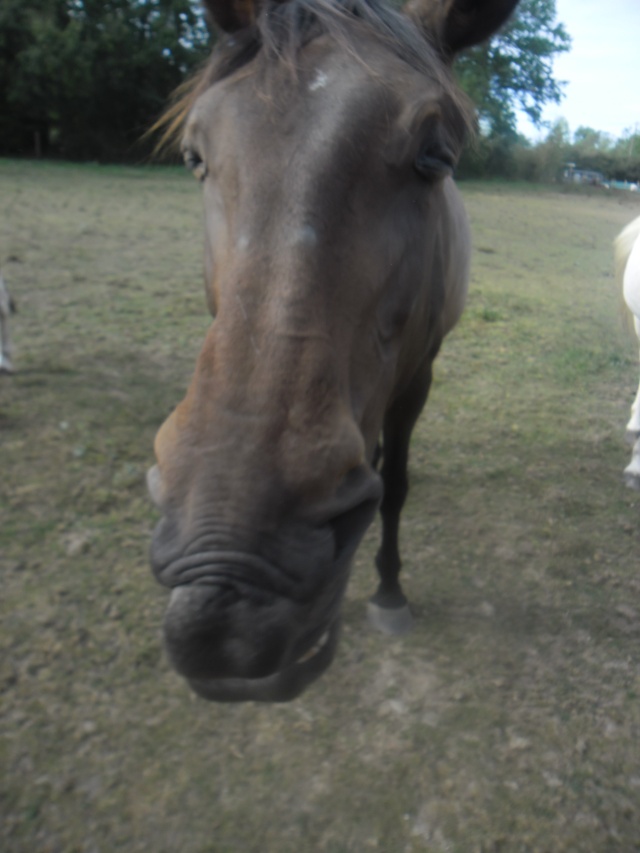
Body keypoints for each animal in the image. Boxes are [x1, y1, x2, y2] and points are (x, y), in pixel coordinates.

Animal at [149, 0, 520, 700]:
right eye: (194, 156)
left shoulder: (418, 378)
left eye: (436, 155)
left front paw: (390, 591)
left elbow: (396, 485)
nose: (228, 592)